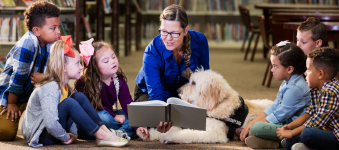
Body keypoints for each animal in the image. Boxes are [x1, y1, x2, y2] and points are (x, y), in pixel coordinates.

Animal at [138, 69, 274, 144]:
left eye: (193, 83)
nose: (178, 90)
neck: (216, 105)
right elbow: (175, 129)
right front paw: (147, 134)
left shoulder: (213, 132)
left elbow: (186, 134)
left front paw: (168, 137)